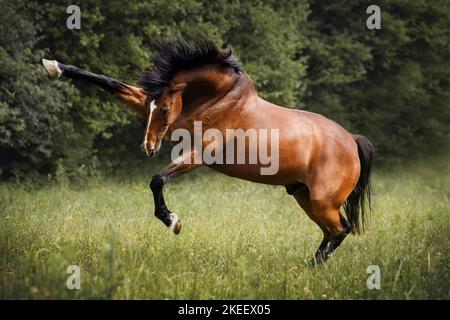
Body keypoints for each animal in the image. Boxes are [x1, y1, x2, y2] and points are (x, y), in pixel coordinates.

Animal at [42, 35, 372, 264]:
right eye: (151, 108)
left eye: (164, 109)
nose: (148, 147)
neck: (219, 99)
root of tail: (352, 139)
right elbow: (110, 82)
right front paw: (54, 66)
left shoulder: (199, 154)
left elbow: (157, 179)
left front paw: (172, 221)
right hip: (305, 196)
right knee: (332, 232)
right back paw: (307, 267)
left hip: (322, 201)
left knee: (340, 230)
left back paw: (309, 268)